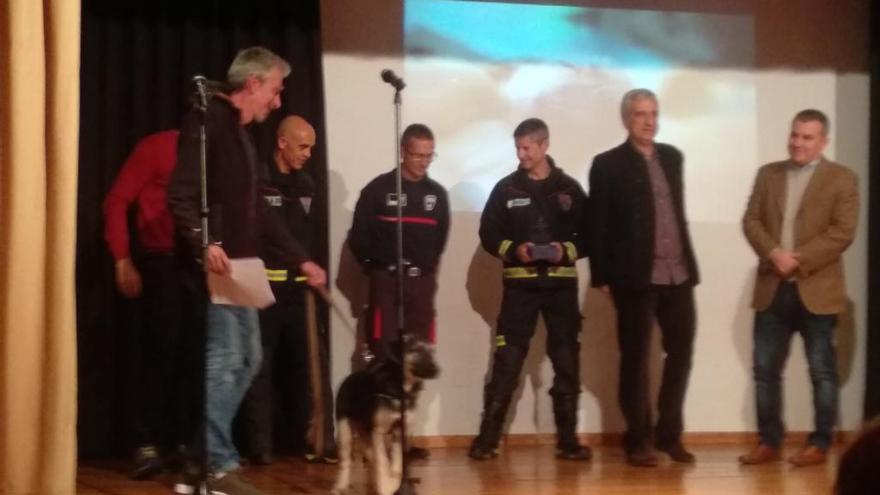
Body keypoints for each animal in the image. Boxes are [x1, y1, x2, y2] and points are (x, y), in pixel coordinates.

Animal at [332, 338, 440, 495]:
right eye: (416, 349)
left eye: (431, 352)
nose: (437, 371)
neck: (401, 389)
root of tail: (349, 378)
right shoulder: (378, 431)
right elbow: (383, 460)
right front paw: (387, 486)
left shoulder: (399, 431)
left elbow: (397, 462)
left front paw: (396, 483)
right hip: (345, 430)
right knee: (347, 460)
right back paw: (340, 486)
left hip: (365, 430)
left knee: (369, 451)